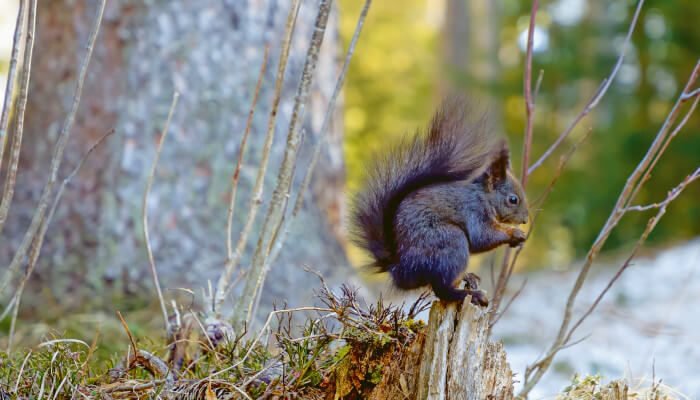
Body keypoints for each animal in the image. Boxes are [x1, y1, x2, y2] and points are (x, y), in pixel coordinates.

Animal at [351, 97, 529, 306]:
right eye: (513, 199)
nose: (525, 220)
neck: (484, 197)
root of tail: (400, 270)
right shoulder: (474, 211)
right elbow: (482, 237)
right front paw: (514, 233)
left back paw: (468, 278)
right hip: (450, 241)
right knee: (442, 289)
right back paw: (469, 294)